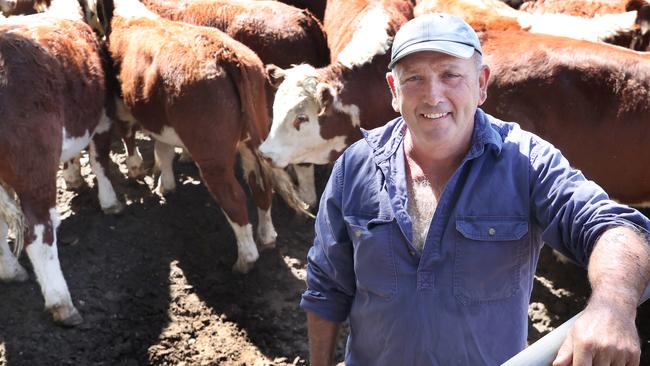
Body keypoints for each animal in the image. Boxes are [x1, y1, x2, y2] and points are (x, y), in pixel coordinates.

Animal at [0, 0, 121, 328]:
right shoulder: (103, 117)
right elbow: (100, 161)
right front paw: (110, 202)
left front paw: (74, 177)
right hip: (34, 168)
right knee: (37, 236)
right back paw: (62, 303)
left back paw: (10, 271)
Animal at [86, 0, 308, 272]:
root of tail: (226, 55)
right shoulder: (160, 119)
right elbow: (163, 150)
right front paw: (165, 184)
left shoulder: (122, 107)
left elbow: (130, 137)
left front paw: (137, 170)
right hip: (253, 136)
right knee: (261, 186)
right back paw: (266, 237)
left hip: (212, 156)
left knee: (234, 198)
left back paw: (245, 260)